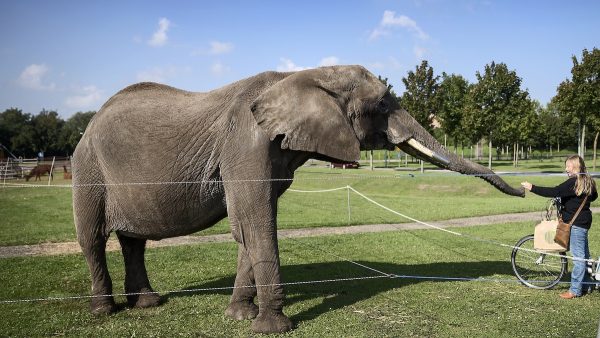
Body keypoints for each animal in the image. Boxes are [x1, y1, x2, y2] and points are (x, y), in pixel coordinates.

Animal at [70, 64, 524, 334]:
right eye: (381, 103)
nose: (525, 190)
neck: (304, 73)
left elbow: (250, 227)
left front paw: (240, 317)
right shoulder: (246, 142)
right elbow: (255, 222)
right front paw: (273, 327)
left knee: (133, 241)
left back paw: (148, 304)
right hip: (87, 167)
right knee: (92, 238)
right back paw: (103, 312)